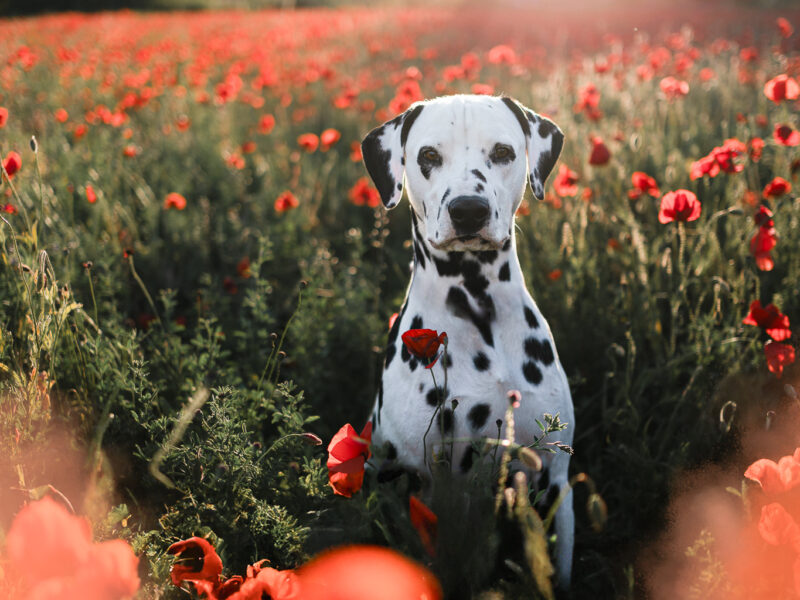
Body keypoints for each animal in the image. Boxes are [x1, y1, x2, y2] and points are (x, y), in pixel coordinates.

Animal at [362, 92, 576, 584]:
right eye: (427, 156)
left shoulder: (553, 481)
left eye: (502, 152)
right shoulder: (421, 487)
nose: (468, 210)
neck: (479, 308)